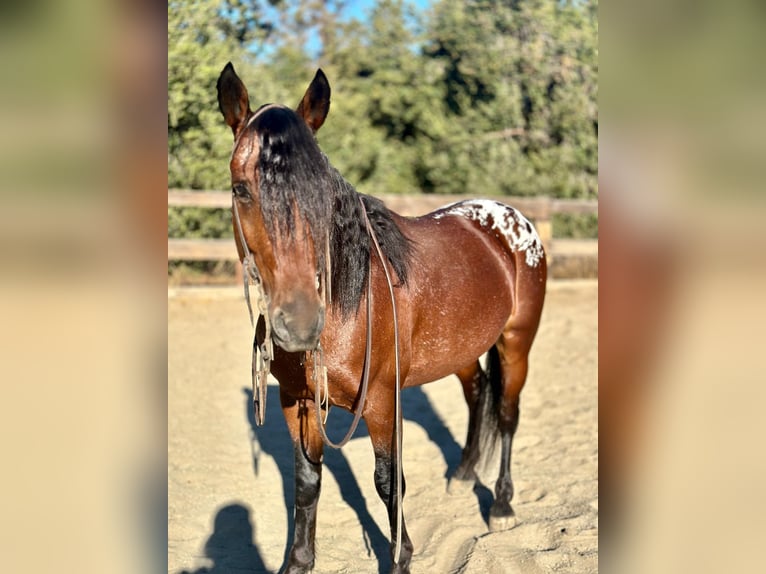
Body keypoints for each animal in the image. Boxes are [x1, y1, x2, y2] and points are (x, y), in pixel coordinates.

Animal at [219, 64, 548, 574]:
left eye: (322, 195)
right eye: (241, 189)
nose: (299, 322)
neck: (348, 303)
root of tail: (510, 219)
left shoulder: (381, 402)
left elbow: (389, 484)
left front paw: (401, 556)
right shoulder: (297, 402)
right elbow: (307, 481)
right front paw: (298, 562)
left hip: (517, 341)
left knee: (508, 414)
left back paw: (501, 504)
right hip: (461, 349)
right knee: (478, 395)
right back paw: (463, 473)